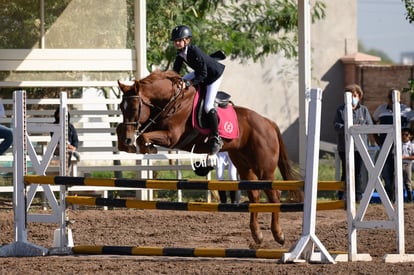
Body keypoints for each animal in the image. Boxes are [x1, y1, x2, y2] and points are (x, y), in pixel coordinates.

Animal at [115, 70, 302, 247]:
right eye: (121, 108)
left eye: (134, 108)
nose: (128, 139)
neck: (171, 100)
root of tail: (268, 122)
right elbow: (127, 130)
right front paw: (128, 145)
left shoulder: (171, 137)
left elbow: (144, 137)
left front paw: (145, 147)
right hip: (244, 165)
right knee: (255, 196)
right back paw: (257, 235)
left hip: (264, 168)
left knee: (274, 195)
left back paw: (278, 235)